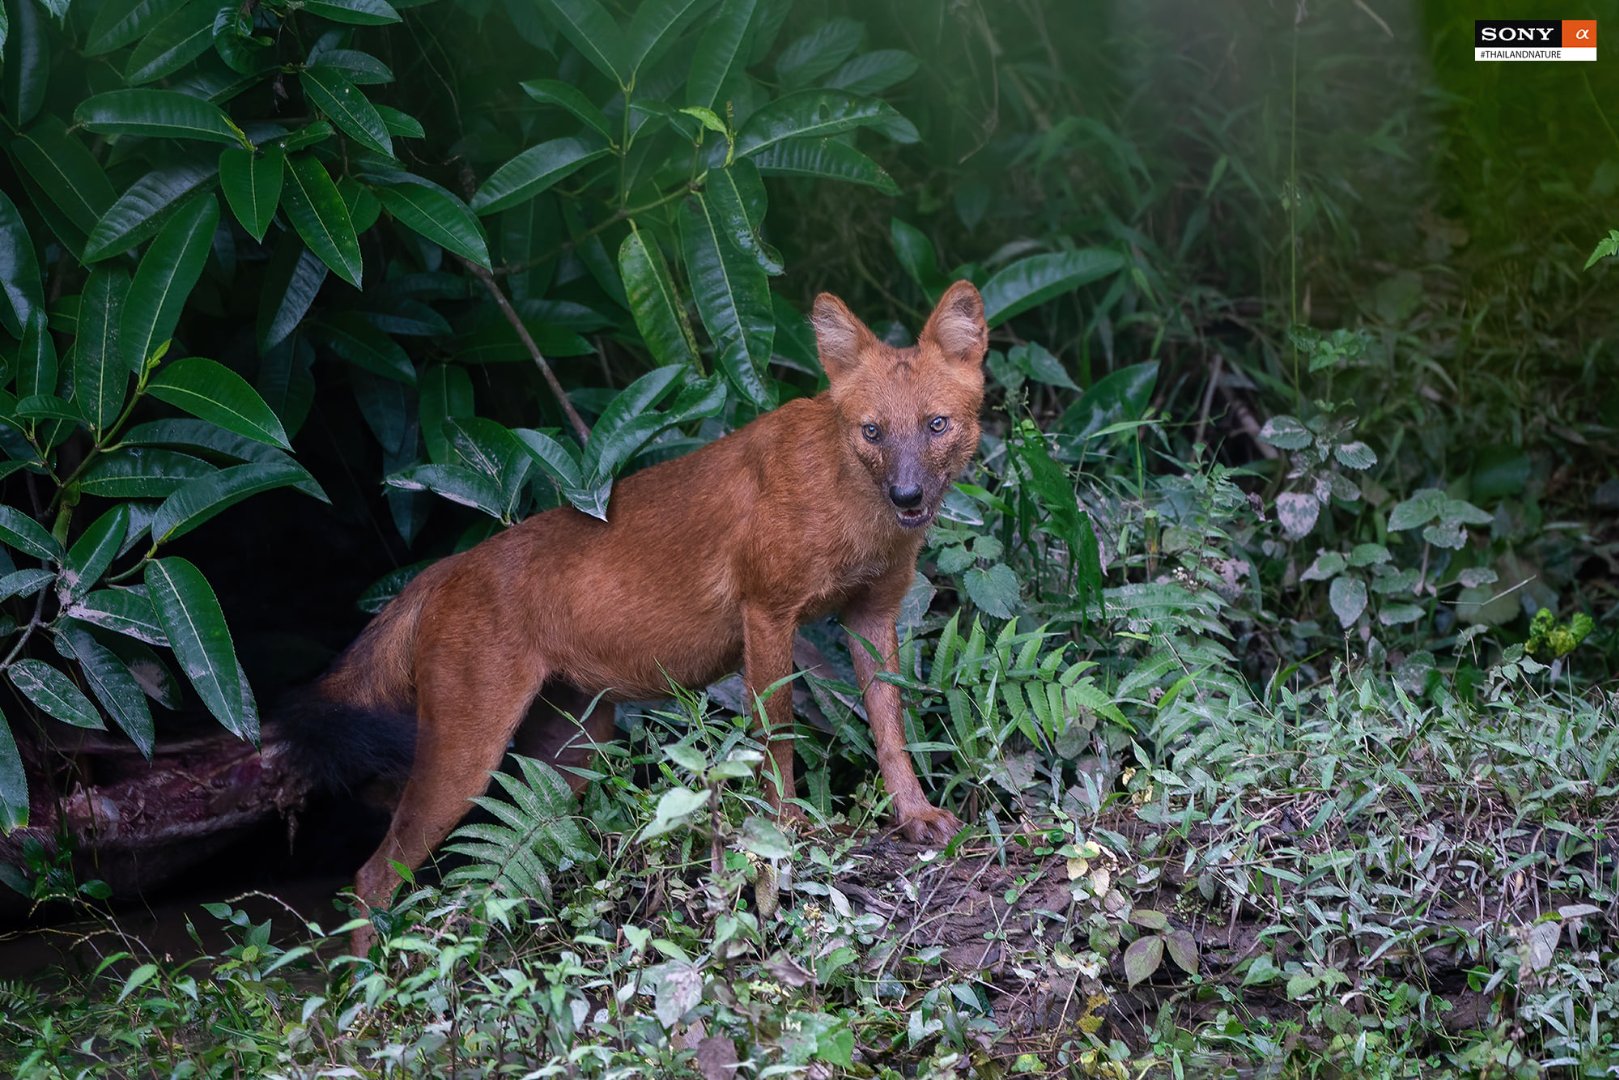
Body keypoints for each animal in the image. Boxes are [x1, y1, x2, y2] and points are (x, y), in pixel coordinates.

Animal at [286, 278, 990, 945]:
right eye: (872, 431)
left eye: (936, 425)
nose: (908, 496)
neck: (857, 512)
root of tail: (440, 571)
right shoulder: (767, 612)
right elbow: (777, 737)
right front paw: (789, 830)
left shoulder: (873, 614)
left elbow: (891, 725)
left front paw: (915, 816)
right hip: (466, 753)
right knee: (370, 877)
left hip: (572, 747)